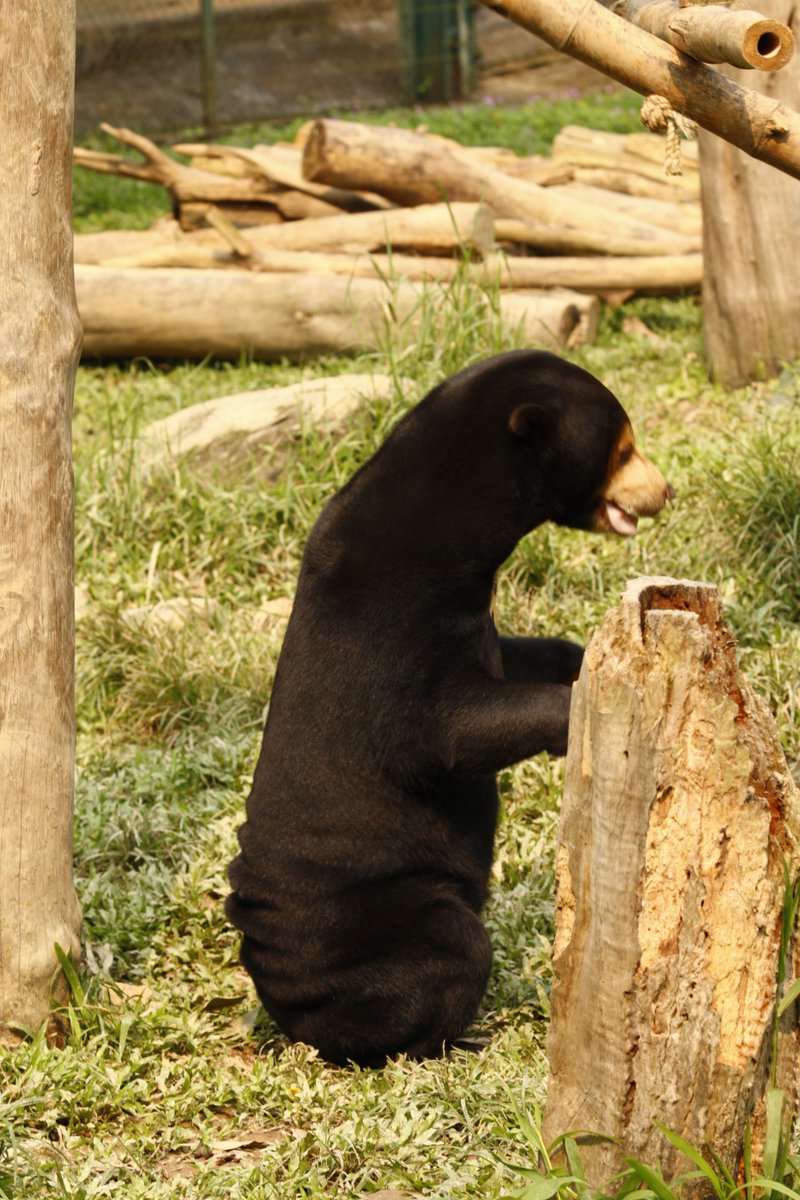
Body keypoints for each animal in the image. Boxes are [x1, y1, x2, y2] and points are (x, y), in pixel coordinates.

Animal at [226, 350, 676, 1070]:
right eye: (624, 448)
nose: (665, 491)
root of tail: (282, 1003)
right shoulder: (389, 630)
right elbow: (446, 732)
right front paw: (574, 714)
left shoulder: (475, 620)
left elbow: (517, 659)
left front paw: (588, 660)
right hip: (381, 914)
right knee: (448, 952)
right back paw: (452, 1038)